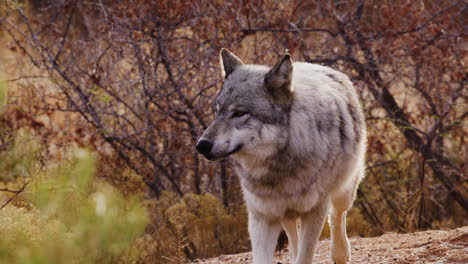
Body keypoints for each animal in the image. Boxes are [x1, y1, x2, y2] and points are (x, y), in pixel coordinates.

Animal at [196, 48, 368, 264]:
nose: (201, 145)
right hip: (284, 212)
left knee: (337, 215)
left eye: (239, 113)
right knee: (293, 235)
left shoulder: (314, 211)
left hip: (344, 192)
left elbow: (305, 256)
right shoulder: (262, 216)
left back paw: (340, 253)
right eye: (216, 112)